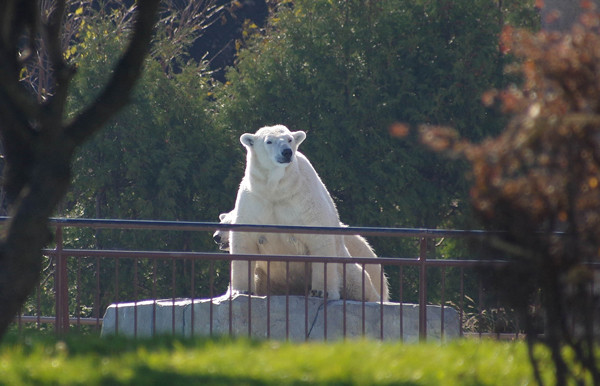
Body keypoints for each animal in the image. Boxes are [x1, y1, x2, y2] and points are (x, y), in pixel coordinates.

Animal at [227, 124, 378, 302]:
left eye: (289, 139)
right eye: (269, 141)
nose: (287, 152)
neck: (276, 189)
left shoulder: (304, 199)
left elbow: (320, 239)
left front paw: (321, 292)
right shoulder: (254, 200)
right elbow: (244, 240)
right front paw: (240, 290)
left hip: (345, 266)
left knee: (359, 283)